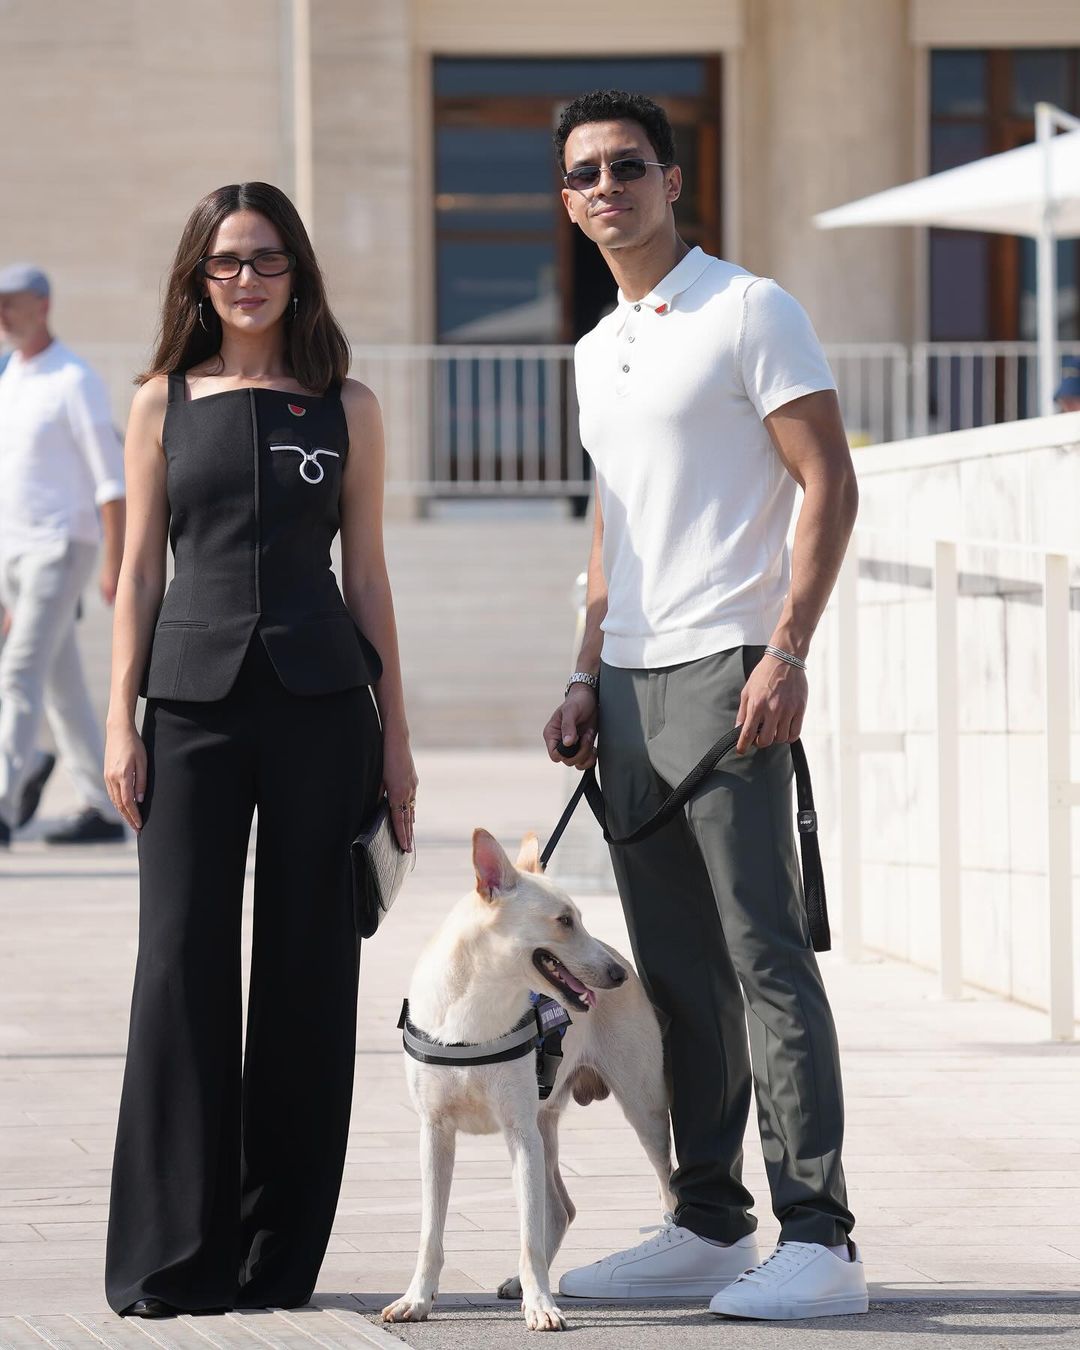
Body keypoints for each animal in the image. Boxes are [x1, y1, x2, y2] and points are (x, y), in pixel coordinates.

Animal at [382, 828, 675, 1332]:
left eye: (579, 918)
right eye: (564, 921)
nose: (617, 976)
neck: (477, 1006)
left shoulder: (518, 1133)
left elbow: (527, 1234)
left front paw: (541, 1306)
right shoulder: (434, 1132)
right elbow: (429, 1232)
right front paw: (416, 1300)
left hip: (641, 1112)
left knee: (665, 1188)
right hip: (545, 1126)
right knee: (561, 1209)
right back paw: (518, 1283)